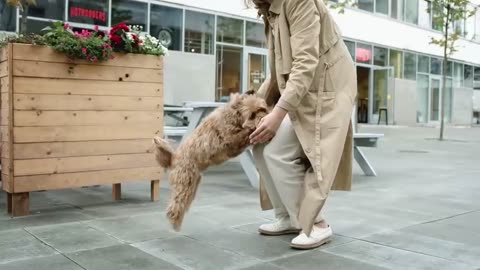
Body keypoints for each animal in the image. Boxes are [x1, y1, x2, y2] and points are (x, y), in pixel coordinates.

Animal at [153, 92, 268, 231]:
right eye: (252, 115)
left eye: (262, 109)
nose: (264, 118)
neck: (234, 116)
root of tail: (173, 158)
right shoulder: (230, 140)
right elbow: (243, 134)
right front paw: (252, 131)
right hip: (185, 182)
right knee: (175, 205)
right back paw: (175, 223)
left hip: (192, 184)